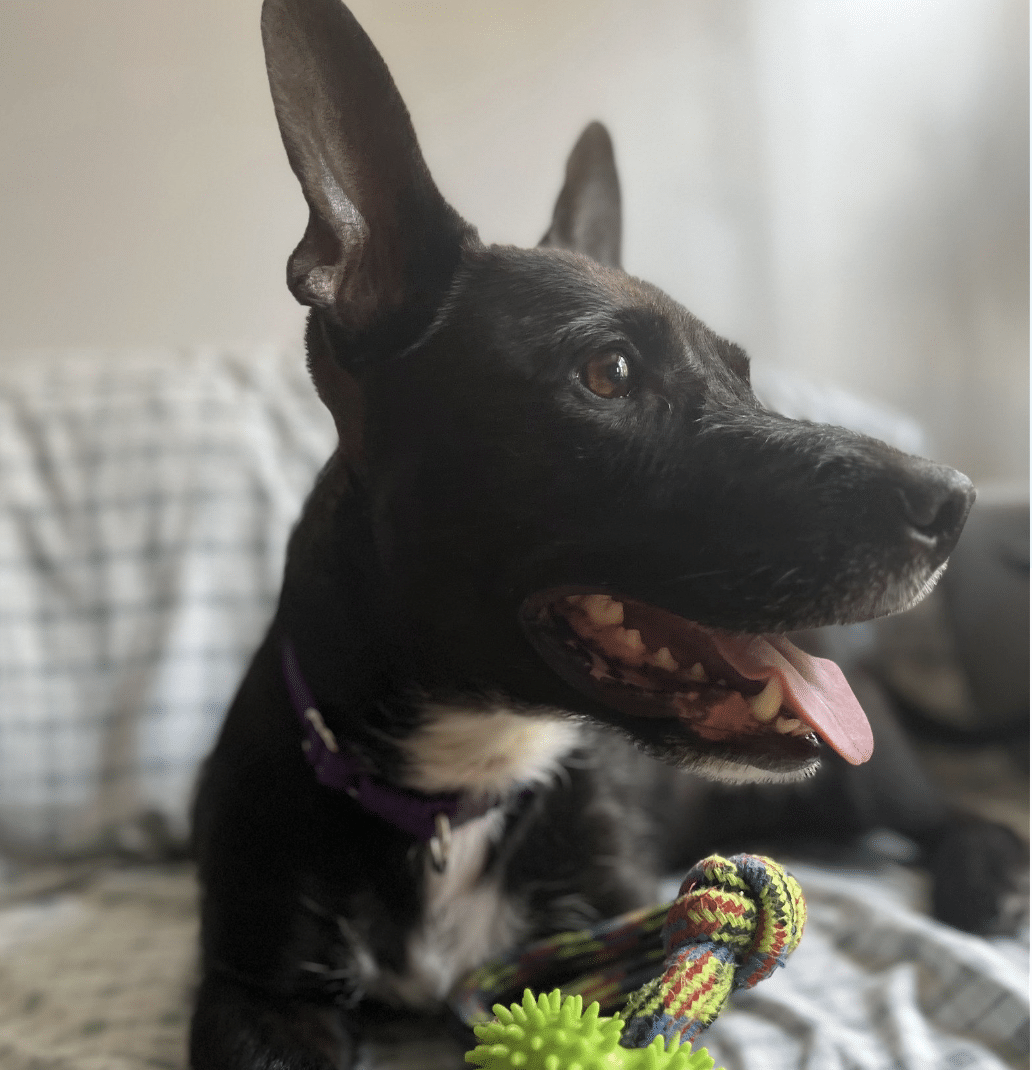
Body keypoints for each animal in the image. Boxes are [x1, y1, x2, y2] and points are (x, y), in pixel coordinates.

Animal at [189, 4, 980, 1065]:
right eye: (609, 374)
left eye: (745, 378)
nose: (956, 501)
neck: (464, 782)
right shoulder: (260, 995)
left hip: (868, 775)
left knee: (948, 813)